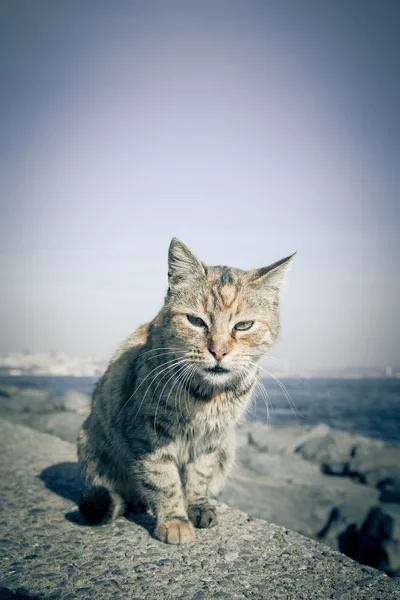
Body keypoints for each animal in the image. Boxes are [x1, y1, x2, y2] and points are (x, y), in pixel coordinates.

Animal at [76, 238, 294, 544]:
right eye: (196, 321)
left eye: (243, 325)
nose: (219, 351)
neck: (208, 395)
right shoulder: (147, 433)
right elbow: (162, 478)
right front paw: (174, 519)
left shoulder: (213, 438)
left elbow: (200, 474)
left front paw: (197, 506)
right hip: (92, 444)